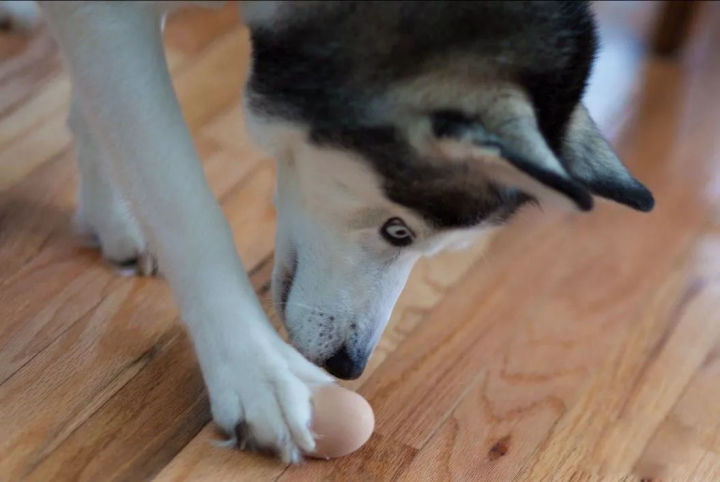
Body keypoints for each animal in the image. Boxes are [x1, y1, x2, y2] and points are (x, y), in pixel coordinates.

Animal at [19, 1, 652, 464]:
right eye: (397, 230)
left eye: (435, 248)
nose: (349, 366)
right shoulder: (110, 19)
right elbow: (181, 199)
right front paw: (255, 367)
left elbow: (98, 108)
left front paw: (113, 216)